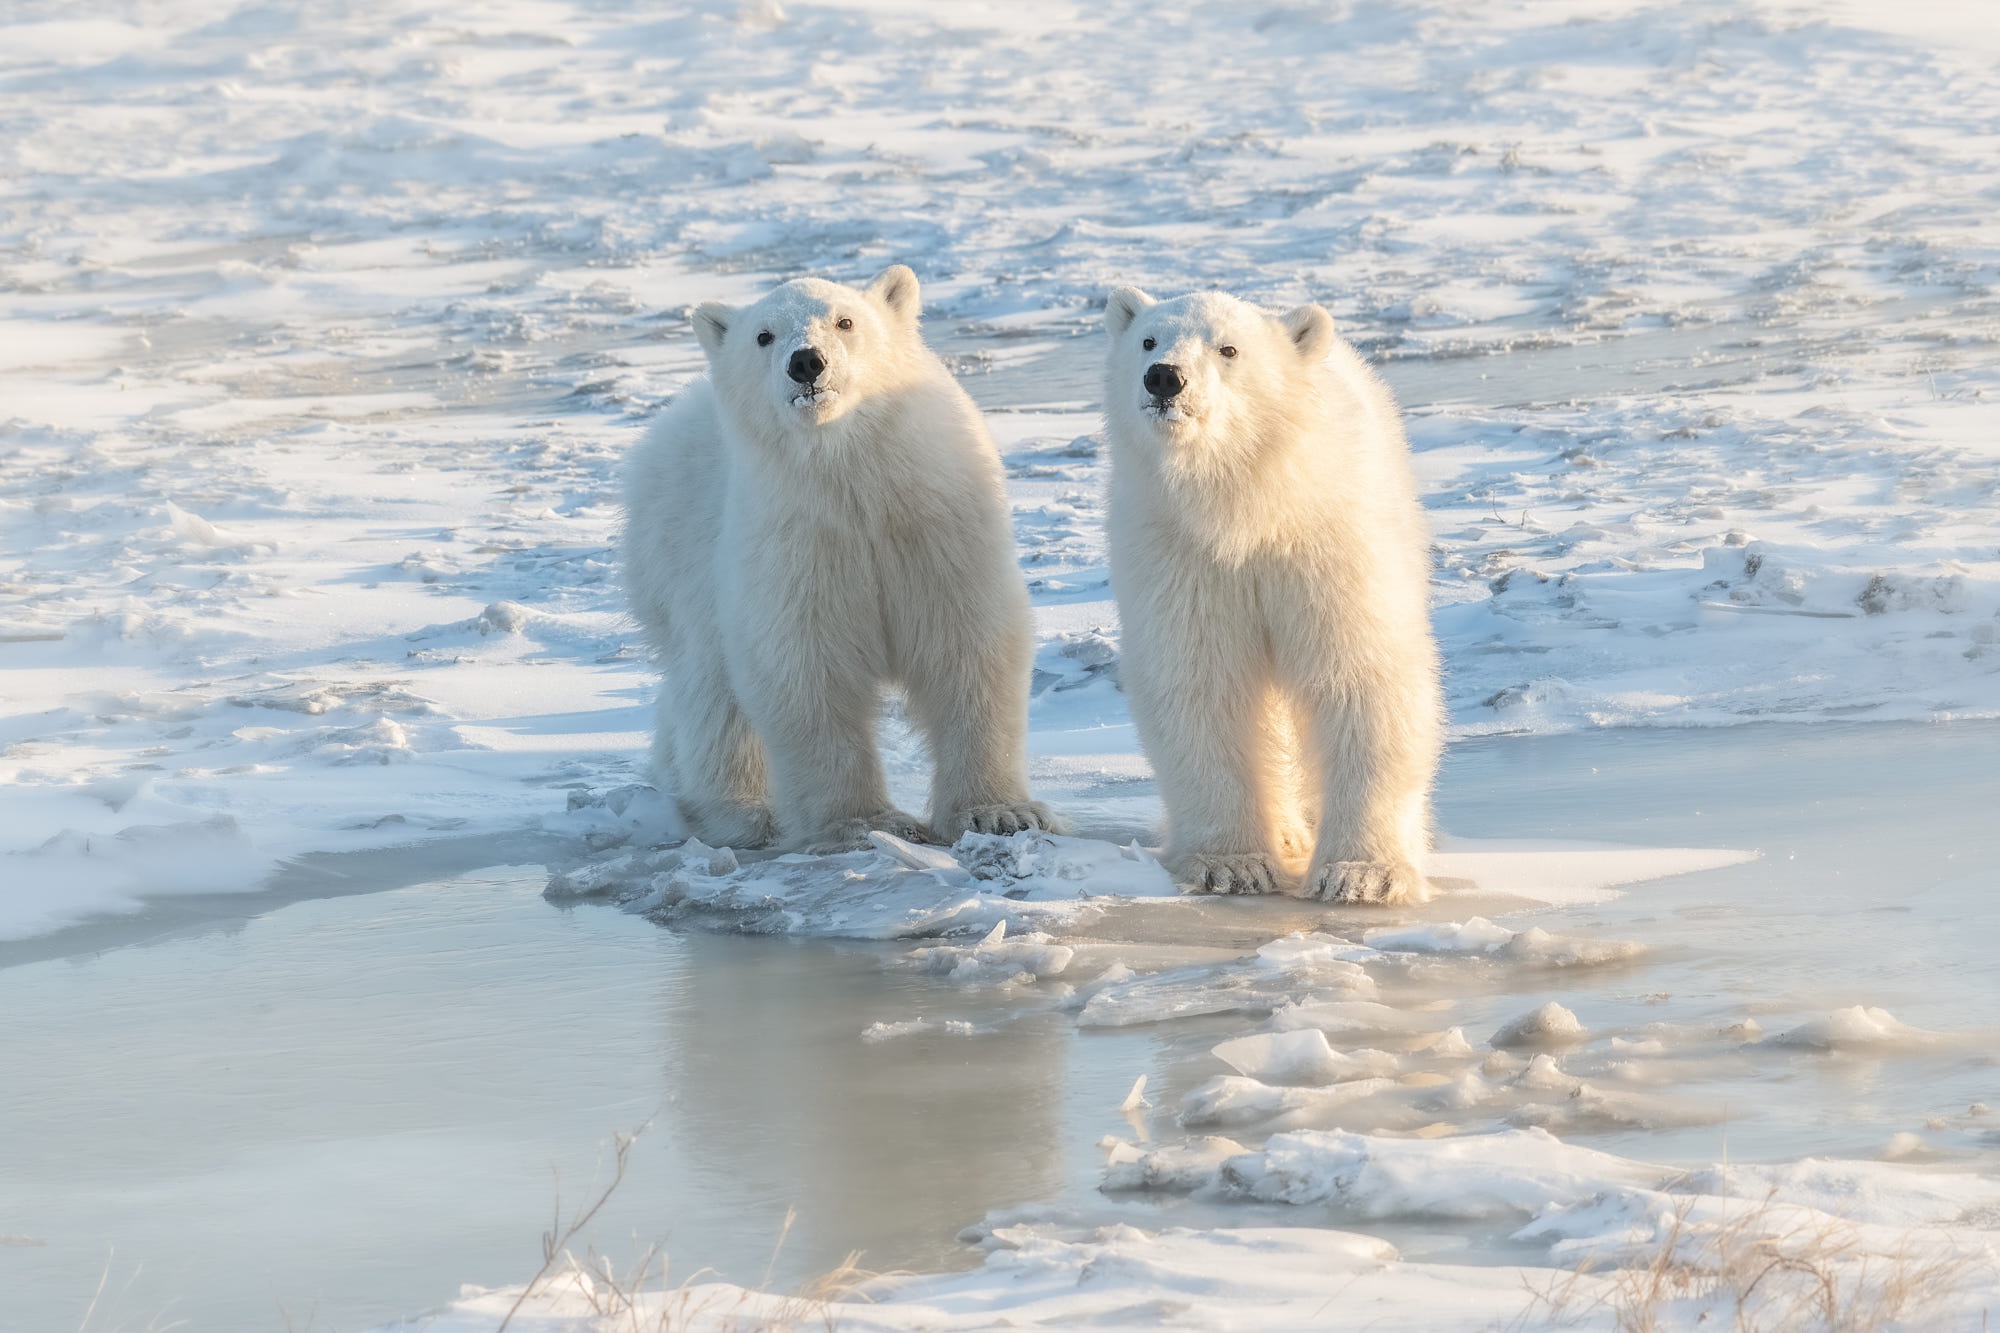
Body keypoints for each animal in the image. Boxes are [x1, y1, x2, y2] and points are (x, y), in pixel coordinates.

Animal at [624, 268, 1072, 852]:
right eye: (763, 336)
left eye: (845, 321)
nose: (806, 362)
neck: (854, 480)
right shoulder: (797, 544)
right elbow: (806, 667)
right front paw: (864, 823)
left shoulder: (938, 528)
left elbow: (968, 646)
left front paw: (1001, 813)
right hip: (681, 557)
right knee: (711, 690)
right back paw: (742, 813)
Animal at [1104, 286, 1448, 896]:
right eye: (1148, 339)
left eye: (1228, 348)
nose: (1164, 377)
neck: (1249, 506)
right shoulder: (1181, 557)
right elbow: (1201, 682)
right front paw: (1230, 863)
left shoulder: (1328, 543)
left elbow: (1360, 674)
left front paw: (1362, 875)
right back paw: (1285, 835)